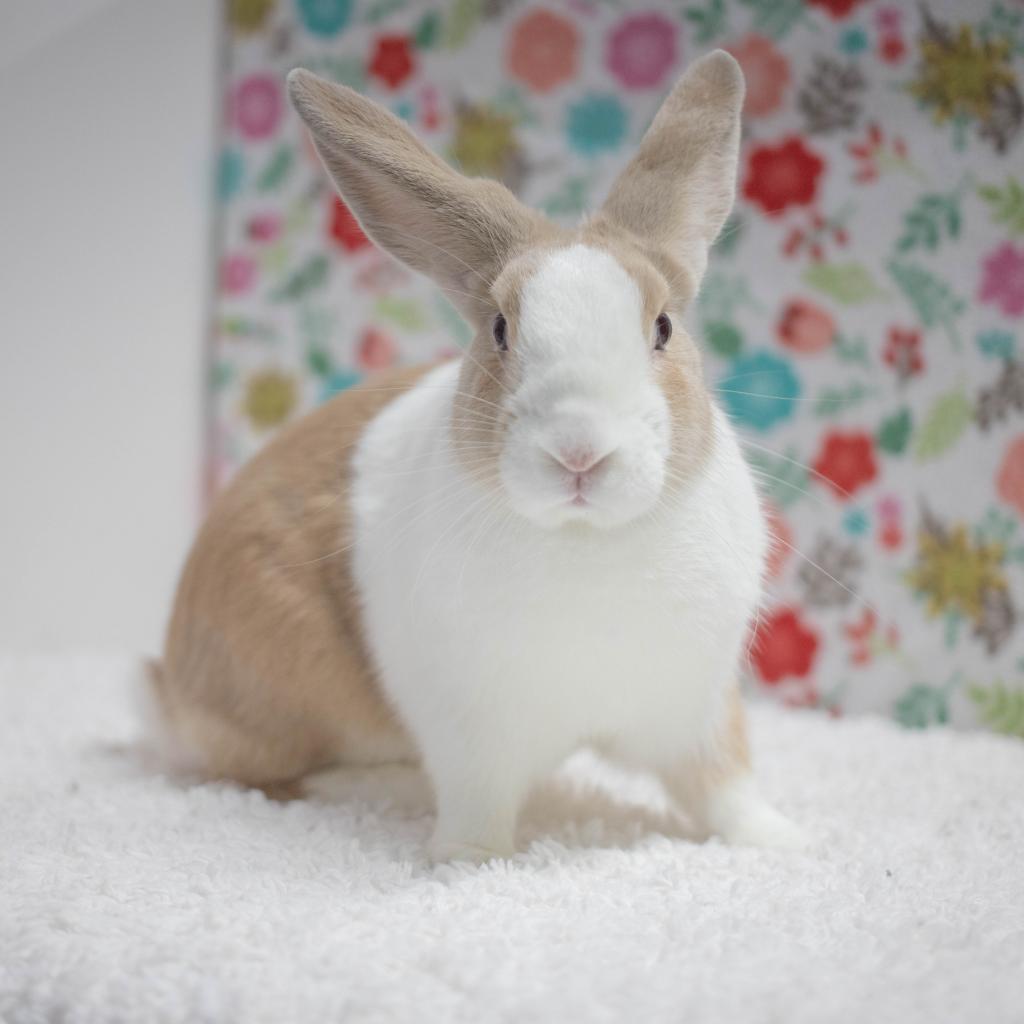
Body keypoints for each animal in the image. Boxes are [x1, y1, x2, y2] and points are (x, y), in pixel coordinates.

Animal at [148, 51, 807, 863]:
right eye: (499, 329)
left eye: (662, 327)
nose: (579, 451)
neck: (586, 540)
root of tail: (168, 684)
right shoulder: (473, 742)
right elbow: (478, 813)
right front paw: (466, 863)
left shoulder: (697, 707)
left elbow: (726, 787)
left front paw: (783, 842)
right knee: (264, 775)